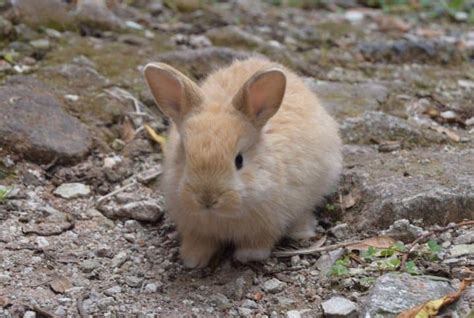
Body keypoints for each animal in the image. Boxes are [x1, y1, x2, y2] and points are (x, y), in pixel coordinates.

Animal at [143, 57, 342, 268]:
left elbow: (260, 240)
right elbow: (199, 241)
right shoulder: (195, 228)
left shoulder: (269, 223)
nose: (207, 199)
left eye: (239, 160)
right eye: (185, 157)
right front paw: (192, 259)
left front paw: (249, 256)